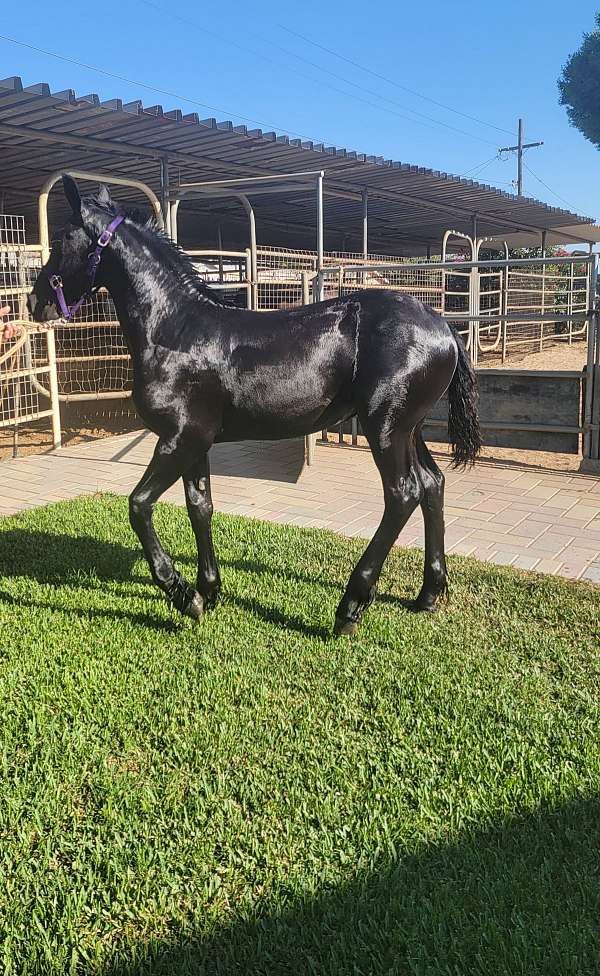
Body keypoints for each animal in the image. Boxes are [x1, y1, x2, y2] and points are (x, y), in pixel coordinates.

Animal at [28, 178, 480, 636]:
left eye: (62, 239)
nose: (34, 301)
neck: (176, 330)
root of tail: (444, 328)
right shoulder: (195, 443)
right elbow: (200, 507)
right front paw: (208, 591)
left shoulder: (177, 440)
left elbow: (139, 506)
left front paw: (182, 595)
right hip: (410, 429)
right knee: (432, 484)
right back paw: (427, 594)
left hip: (386, 429)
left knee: (403, 494)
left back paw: (350, 606)